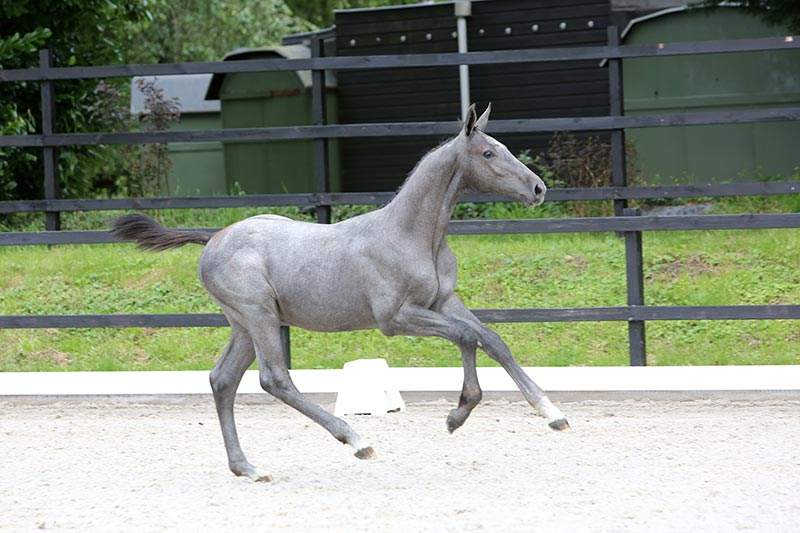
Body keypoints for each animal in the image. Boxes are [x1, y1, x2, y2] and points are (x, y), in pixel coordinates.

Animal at [111, 104, 569, 482]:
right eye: (489, 154)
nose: (538, 189)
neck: (413, 234)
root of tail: (213, 238)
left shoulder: (443, 301)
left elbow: (492, 339)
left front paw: (552, 414)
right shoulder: (395, 318)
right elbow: (466, 336)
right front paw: (457, 415)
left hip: (243, 323)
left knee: (222, 380)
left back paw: (248, 468)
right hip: (259, 315)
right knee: (274, 378)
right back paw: (357, 441)